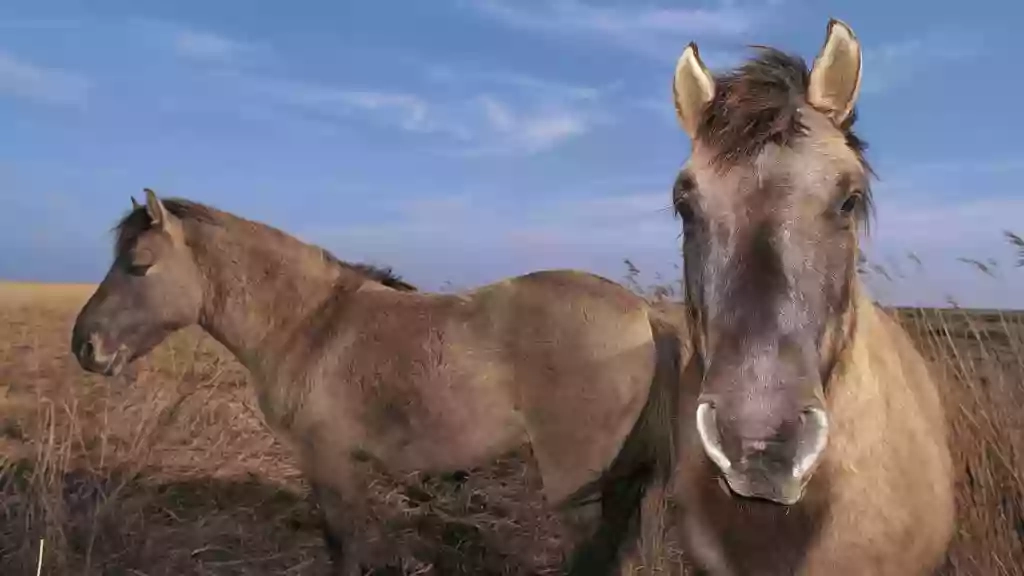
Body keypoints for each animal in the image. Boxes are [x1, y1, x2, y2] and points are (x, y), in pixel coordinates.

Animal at [70, 189, 679, 573]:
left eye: (139, 265)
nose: (85, 346)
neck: (310, 323)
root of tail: (644, 314)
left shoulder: (325, 459)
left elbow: (342, 545)